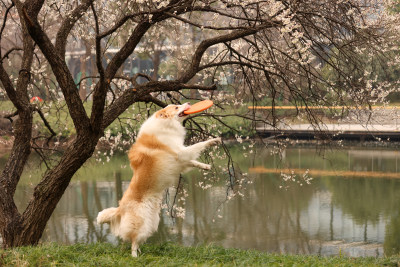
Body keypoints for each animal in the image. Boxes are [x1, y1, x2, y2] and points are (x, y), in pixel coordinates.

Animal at [97, 102, 222, 258]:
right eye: (176, 107)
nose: (188, 103)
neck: (166, 125)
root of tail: (120, 208)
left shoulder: (181, 160)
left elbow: (193, 162)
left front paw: (205, 166)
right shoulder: (181, 152)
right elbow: (197, 146)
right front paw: (213, 141)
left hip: (152, 223)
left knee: (138, 239)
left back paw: (140, 252)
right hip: (141, 223)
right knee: (133, 240)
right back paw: (135, 256)